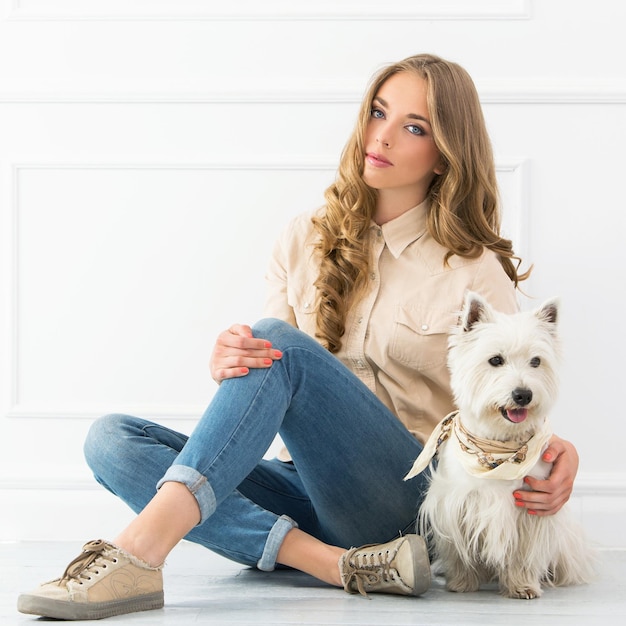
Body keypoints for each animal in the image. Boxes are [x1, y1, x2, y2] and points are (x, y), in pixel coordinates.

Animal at [402, 290, 592, 596]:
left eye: (536, 361)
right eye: (495, 360)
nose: (523, 394)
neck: (496, 448)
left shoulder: (532, 509)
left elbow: (523, 555)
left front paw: (523, 585)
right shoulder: (454, 503)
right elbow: (459, 550)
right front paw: (461, 582)